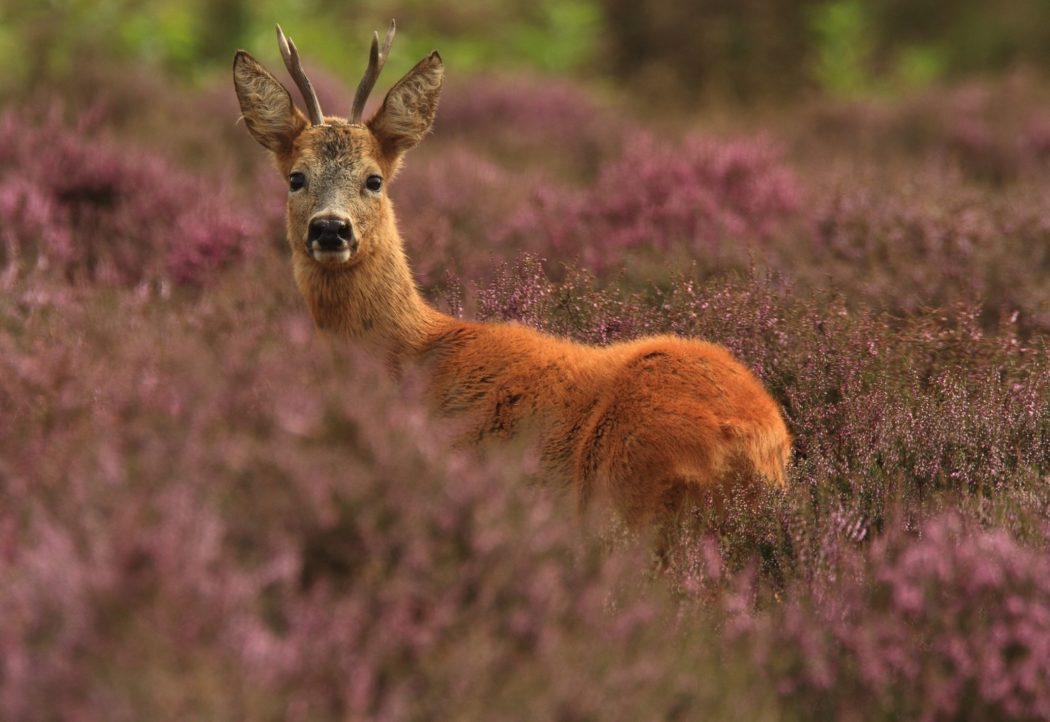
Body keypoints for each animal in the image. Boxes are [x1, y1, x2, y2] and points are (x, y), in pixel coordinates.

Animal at [232, 22, 792, 550]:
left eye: (374, 179)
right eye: (296, 178)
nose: (331, 229)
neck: (411, 353)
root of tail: (760, 440)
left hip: (632, 485)